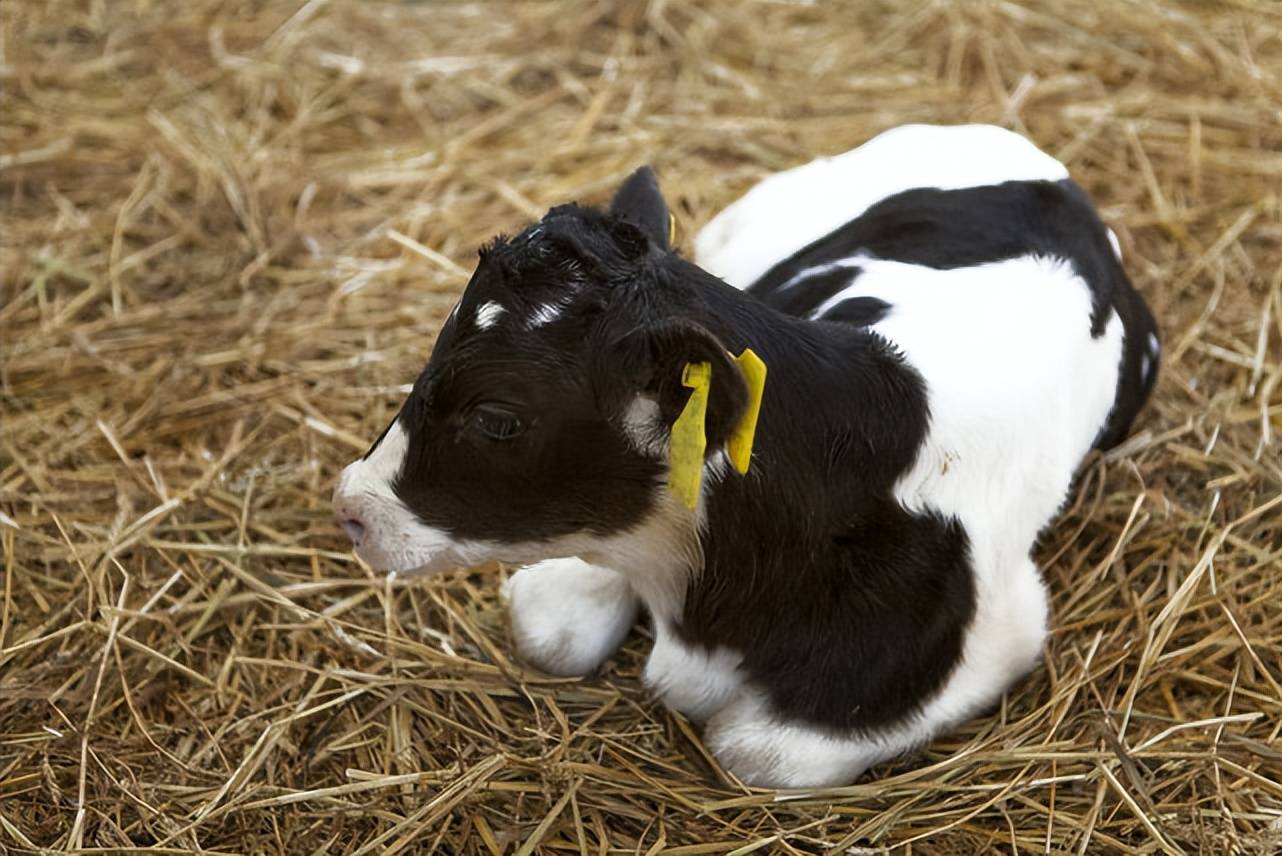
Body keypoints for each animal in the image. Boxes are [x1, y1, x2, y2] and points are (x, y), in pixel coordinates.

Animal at [333, 121, 1164, 789]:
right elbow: (554, 628)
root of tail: (1037, 161)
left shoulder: (1002, 630)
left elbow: (754, 751)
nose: (351, 507)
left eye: (498, 419)